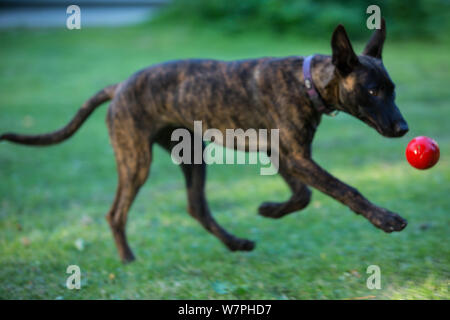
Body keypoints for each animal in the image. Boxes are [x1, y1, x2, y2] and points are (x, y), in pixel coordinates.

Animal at [0, 21, 408, 264]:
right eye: (373, 91)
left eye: (393, 90)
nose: (404, 128)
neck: (306, 81)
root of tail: (119, 87)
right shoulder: (295, 157)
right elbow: (345, 189)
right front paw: (386, 219)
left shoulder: (282, 155)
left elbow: (303, 196)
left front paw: (270, 210)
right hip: (136, 160)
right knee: (116, 213)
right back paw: (128, 259)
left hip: (192, 154)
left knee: (196, 207)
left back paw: (235, 243)